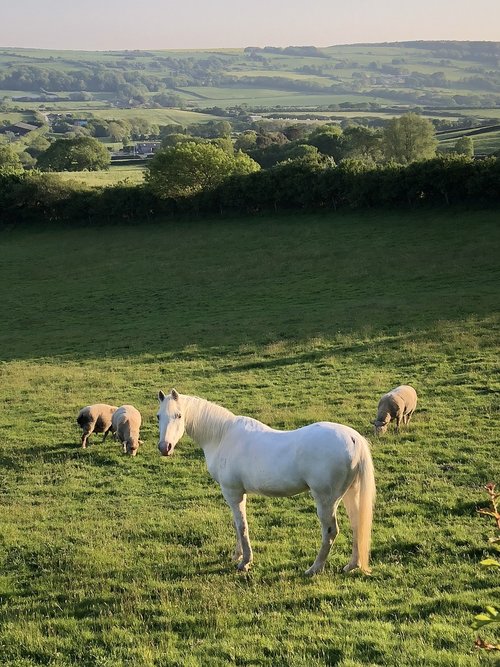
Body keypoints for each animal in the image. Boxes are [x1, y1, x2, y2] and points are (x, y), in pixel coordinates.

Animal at [156, 388, 376, 576]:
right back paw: (352, 565)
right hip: (349, 494)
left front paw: (245, 562)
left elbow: (242, 526)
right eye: (159, 416)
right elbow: (237, 524)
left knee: (330, 531)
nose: (164, 447)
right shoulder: (239, 494)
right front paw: (237, 555)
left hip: (326, 500)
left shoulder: (232, 492)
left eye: (178, 415)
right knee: (357, 524)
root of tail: (353, 438)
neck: (222, 436)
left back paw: (314, 568)